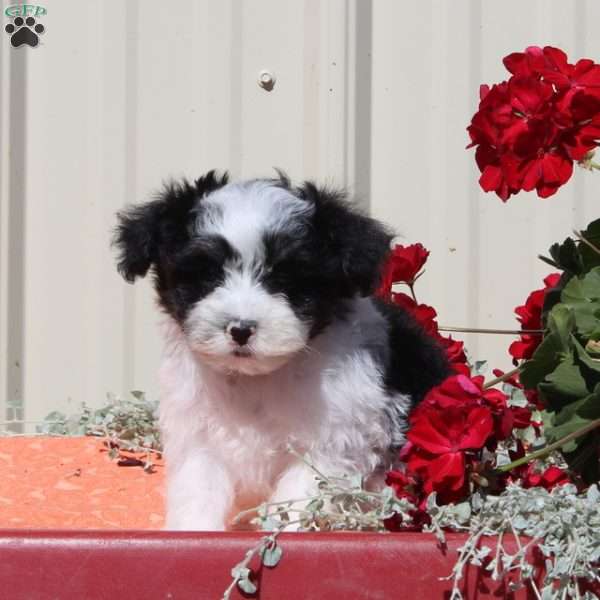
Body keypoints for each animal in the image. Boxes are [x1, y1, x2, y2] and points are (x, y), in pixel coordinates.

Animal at [112, 170, 450, 528]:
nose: (241, 329)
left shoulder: (331, 442)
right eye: (207, 277)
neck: (255, 380)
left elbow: (298, 499)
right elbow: (198, 492)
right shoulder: (200, 437)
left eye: (286, 280)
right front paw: (194, 530)